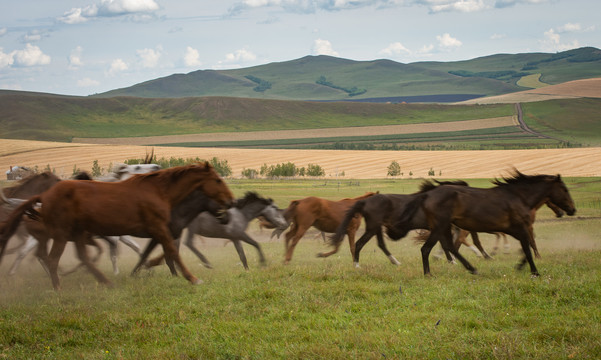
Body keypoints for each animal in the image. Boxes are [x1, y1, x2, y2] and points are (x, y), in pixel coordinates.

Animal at [0, 163, 234, 290]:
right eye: (217, 180)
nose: (231, 201)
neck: (160, 191)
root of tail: (44, 196)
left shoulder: (155, 232)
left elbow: (155, 252)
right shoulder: (159, 229)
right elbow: (172, 253)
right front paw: (193, 278)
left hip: (76, 233)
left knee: (80, 257)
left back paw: (105, 282)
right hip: (61, 233)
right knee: (50, 258)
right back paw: (58, 287)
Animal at [394, 171, 576, 276]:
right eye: (565, 189)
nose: (572, 210)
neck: (519, 197)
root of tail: (428, 194)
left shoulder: (514, 230)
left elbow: (527, 247)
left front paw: (519, 266)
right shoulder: (522, 227)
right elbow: (528, 247)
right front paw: (534, 271)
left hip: (444, 227)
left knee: (450, 246)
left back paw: (471, 268)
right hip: (441, 226)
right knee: (428, 248)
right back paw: (429, 273)